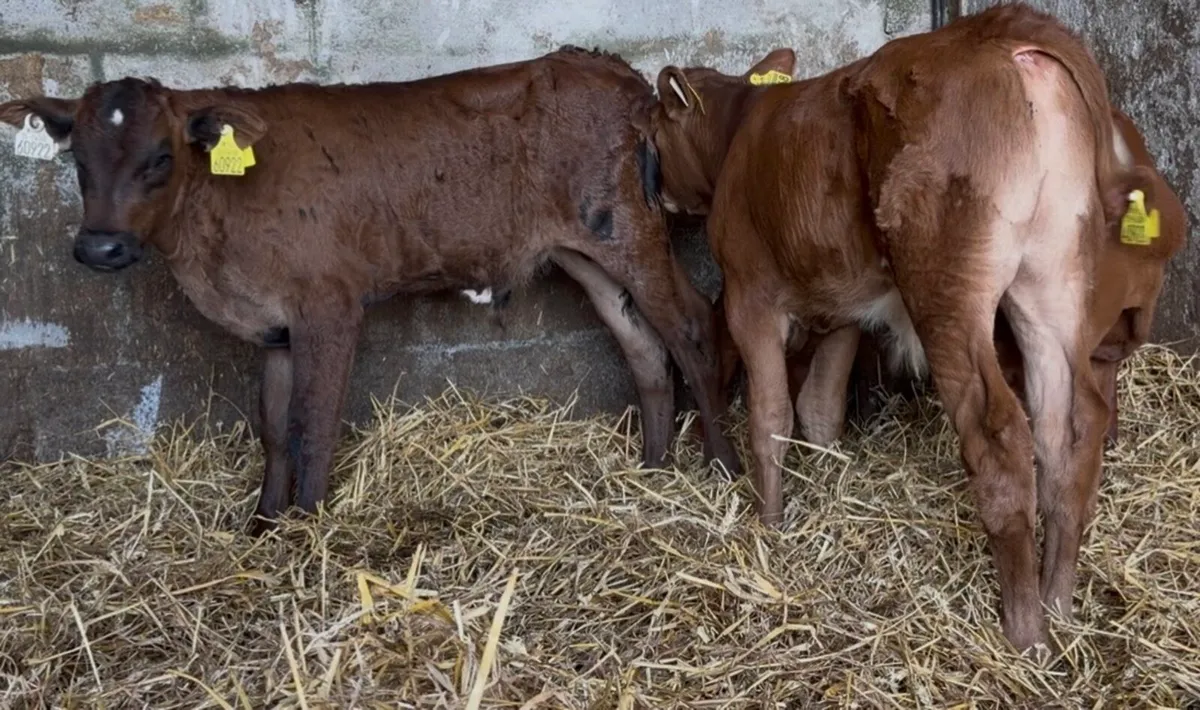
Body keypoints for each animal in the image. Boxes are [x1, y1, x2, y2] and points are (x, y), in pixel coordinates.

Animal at [0, 45, 742, 536]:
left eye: (159, 157)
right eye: (77, 159)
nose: (99, 248)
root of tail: (613, 69)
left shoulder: (329, 306)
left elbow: (313, 422)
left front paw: (310, 529)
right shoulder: (275, 323)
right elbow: (273, 426)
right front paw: (265, 525)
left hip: (630, 233)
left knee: (693, 328)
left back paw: (724, 466)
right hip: (583, 251)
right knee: (643, 348)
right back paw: (650, 469)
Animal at [650, 3, 1169, 650]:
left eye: (653, 133)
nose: (659, 194)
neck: (742, 129)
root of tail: (1000, 32)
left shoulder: (749, 295)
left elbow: (770, 417)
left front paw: (768, 529)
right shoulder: (844, 308)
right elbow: (821, 409)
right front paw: (828, 488)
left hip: (944, 281)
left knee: (998, 431)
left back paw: (1025, 630)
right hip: (1052, 278)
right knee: (1068, 426)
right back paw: (1058, 603)